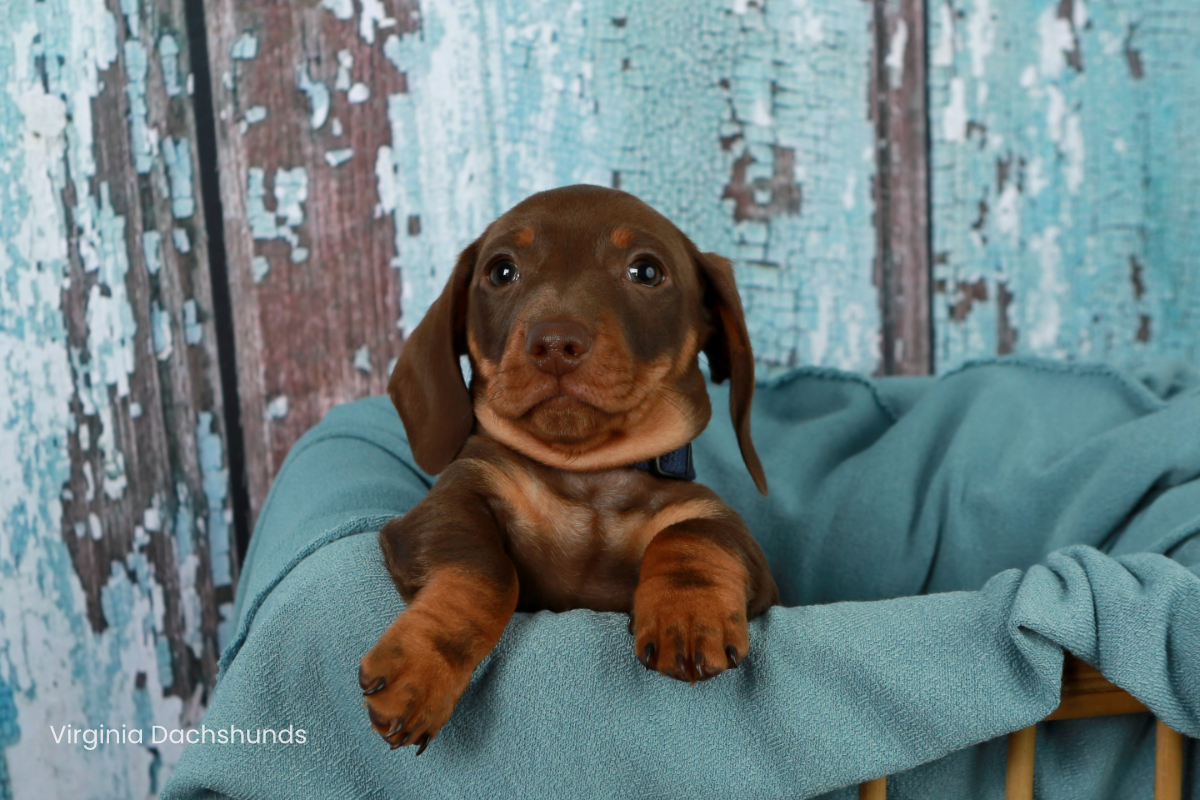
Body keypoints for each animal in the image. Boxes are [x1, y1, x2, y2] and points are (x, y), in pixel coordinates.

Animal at [357, 184, 777, 753]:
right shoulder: (448, 501)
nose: (555, 343)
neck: (588, 475)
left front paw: (689, 613)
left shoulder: (736, 541)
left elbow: (695, 533)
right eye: (501, 271)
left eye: (646, 271)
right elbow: (489, 571)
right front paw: (421, 668)